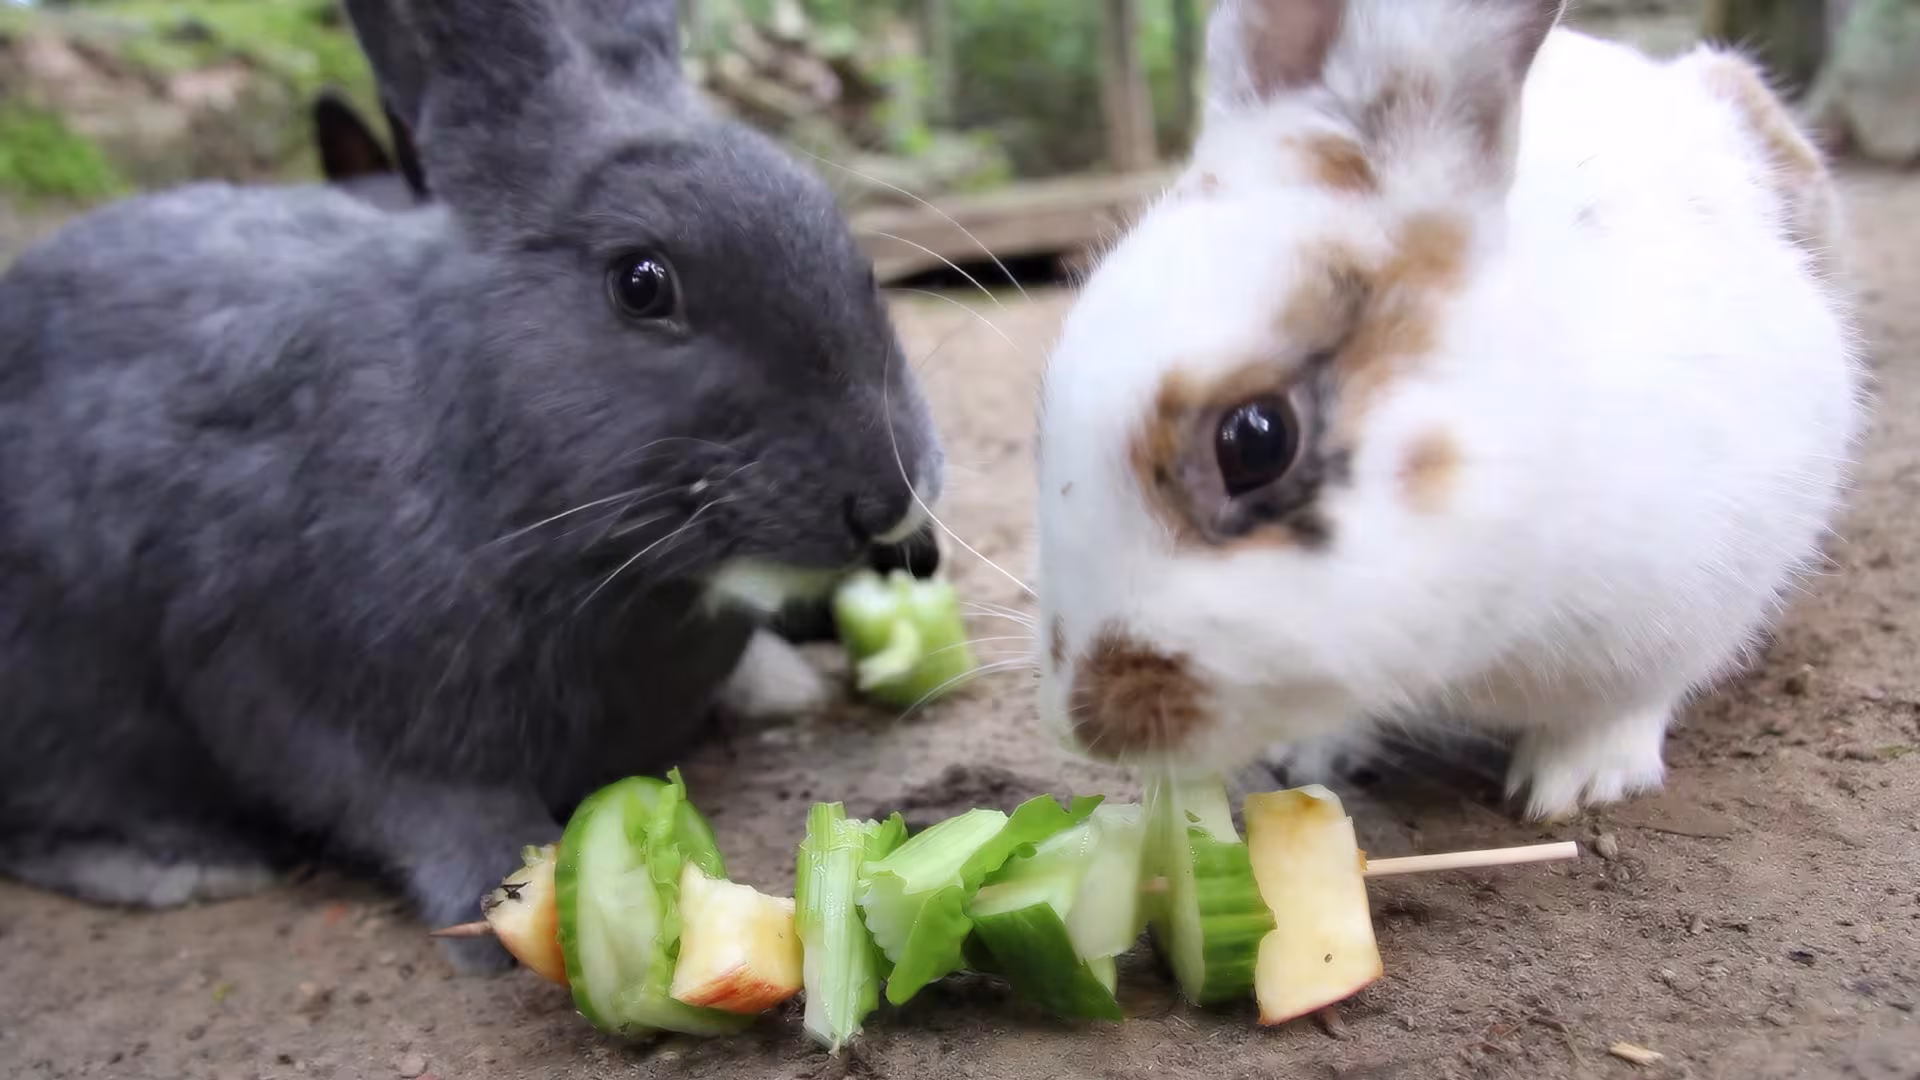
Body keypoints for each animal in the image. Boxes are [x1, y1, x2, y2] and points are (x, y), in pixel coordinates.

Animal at [0, 0, 945, 974]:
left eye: (856, 259)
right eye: (641, 284)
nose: (886, 503)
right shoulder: (299, 688)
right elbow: (416, 803)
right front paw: (510, 903)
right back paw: (175, 866)